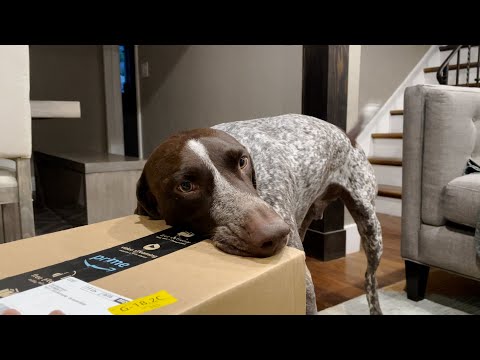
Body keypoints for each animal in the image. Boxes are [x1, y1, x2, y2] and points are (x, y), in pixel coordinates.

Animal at [134, 114, 382, 314]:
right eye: (186, 186)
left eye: (243, 161)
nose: (276, 233)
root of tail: (347, 135)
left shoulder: (304, 284)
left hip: (370, 225)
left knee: (369, 279)